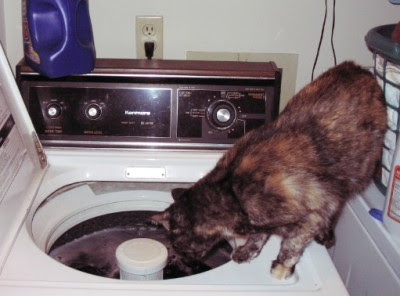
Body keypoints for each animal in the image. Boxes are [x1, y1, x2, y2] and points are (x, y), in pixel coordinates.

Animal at [152, 61, 386, 278]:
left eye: (177, 244)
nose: (179, 259)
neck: (231, 191)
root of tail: (356, 67)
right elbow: (259, 235)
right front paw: (247, 251)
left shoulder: (314, 212)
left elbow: (292, 245)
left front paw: (282, 268)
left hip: (355, 174)